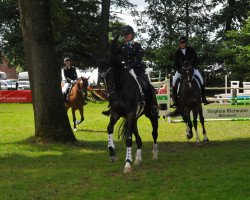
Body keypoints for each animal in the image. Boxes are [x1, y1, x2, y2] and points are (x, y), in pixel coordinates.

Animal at [98, 38, 158, 173]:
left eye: (110, 74)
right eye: (100, 76)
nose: (109, 94)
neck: (120, 90)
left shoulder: (130, 114)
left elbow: (129, 139)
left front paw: (127, 164)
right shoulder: (116, 113)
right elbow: (109, 129)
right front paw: (112, 154)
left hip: (151, 116)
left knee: (154, 133)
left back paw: (155, 154)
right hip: (134, 120)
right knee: (139, 140)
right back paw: (138, 159)